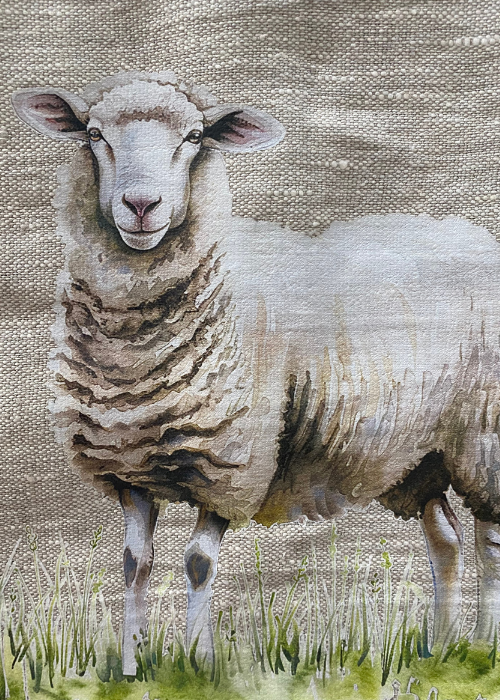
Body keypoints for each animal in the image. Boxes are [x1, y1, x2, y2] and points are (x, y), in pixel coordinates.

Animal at [11, 70, 500, 676]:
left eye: (195, 136)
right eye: (95, 134)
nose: (141, 205)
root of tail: (472, 233)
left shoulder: (233, 464)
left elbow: (197, 563)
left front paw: (198, 666)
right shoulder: (131, 470)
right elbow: (134, 563)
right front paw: (130, 668)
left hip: (483, 438)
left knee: (488, 542)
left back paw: (482, 646)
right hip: (417, 453)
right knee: (446, 540)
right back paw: (440, 650)